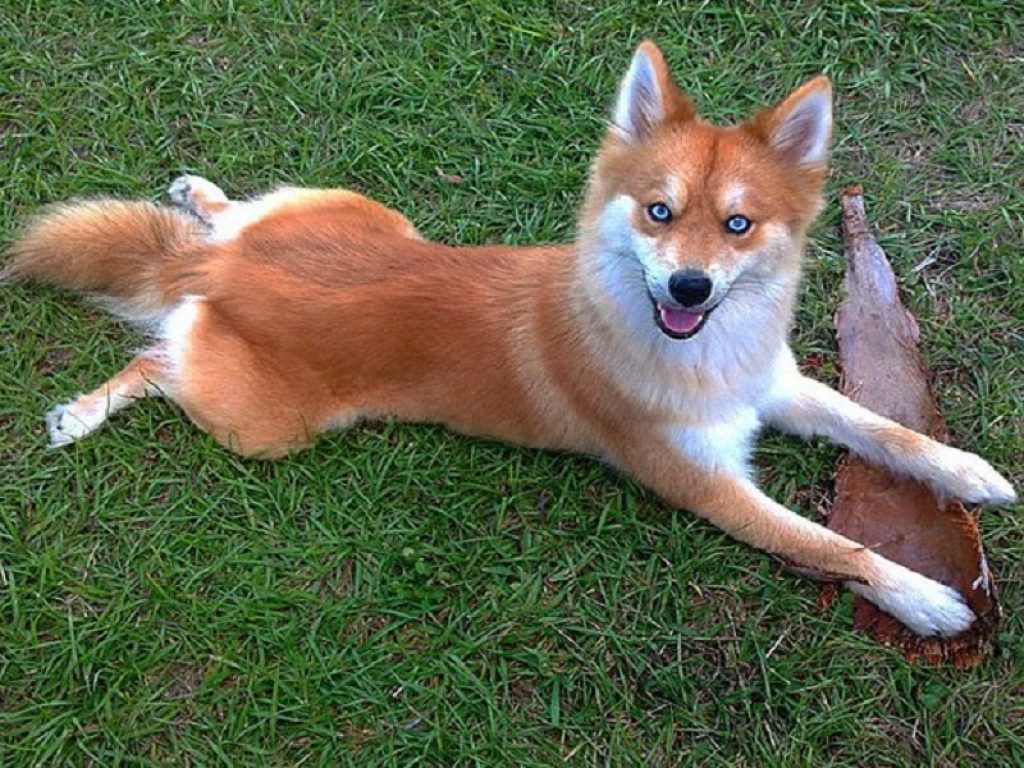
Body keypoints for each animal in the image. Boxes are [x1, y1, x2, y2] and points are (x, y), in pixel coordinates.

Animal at [6, 41, 1016, 638]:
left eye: (738, 226)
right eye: (659, 212)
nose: (688, 286)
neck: (696, 350)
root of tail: (222, 275)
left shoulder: (772, 385)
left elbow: (883, 429)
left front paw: (968, 472)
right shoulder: (707, 485)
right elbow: (828, 545)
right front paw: (924, 598)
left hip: (357, 214)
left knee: (227, 224)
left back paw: (201, 196)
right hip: (263, 427)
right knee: (152, 357)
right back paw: (80, 414)